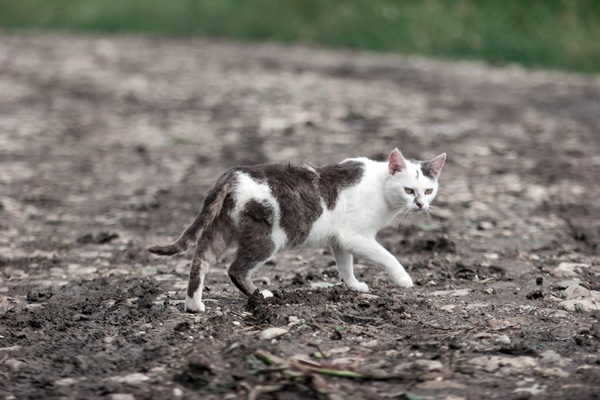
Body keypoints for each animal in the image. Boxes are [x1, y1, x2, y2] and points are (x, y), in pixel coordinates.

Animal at [148, 148, 446, 312]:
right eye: (409, 190)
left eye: (428, 191)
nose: (421, 204)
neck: (382, 187)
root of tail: (233, 173)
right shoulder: (357, 237)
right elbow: (387, 256)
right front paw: (403, 279)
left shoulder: (341, 239)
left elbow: (345, 264)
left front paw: (353, 286)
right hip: (266, 237)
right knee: (236, 269)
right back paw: (260, 296)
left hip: (221, 228)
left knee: (201, 259)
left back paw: (193, 305)